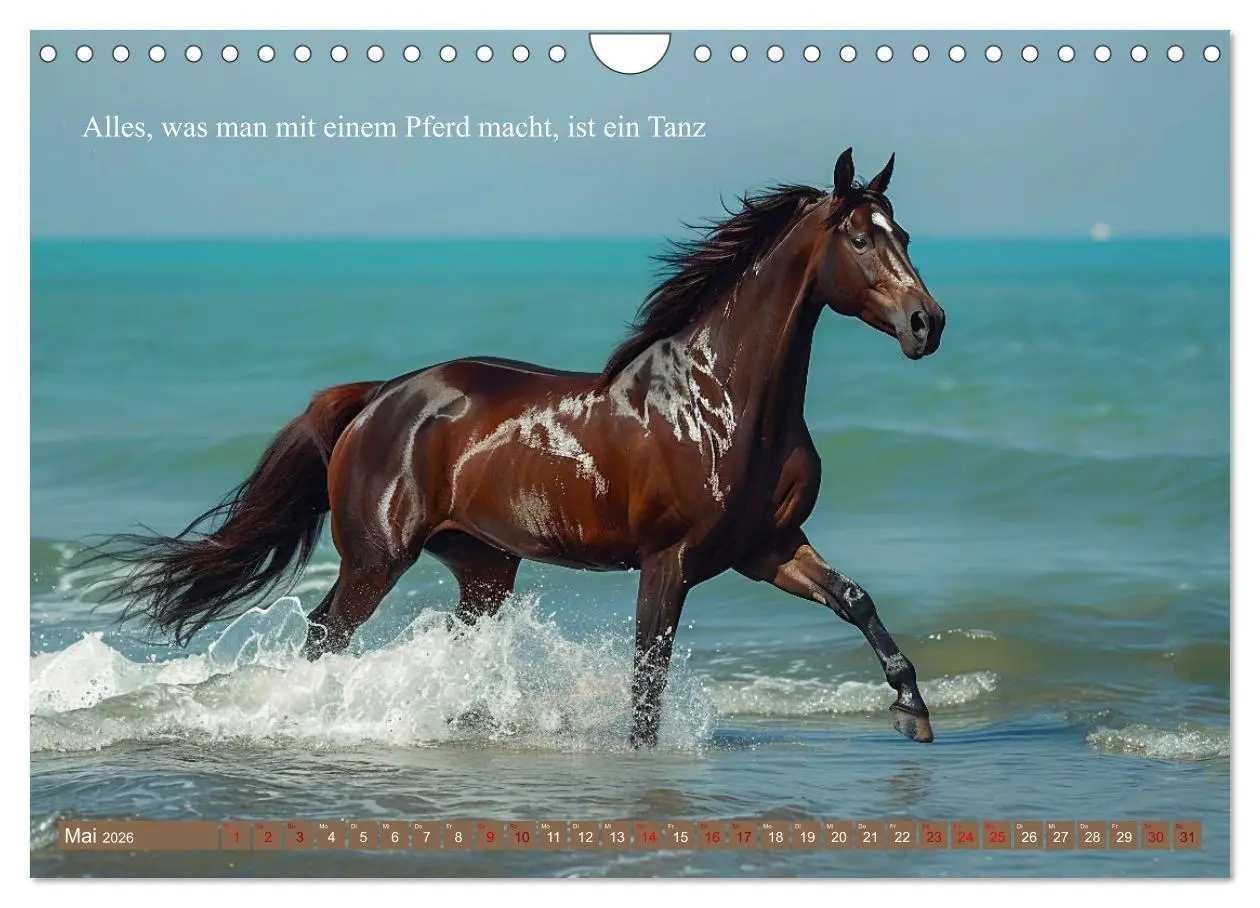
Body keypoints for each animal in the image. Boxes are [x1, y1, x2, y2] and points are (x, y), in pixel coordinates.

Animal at [99, 148, 946, 747]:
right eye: (861, 238)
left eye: (904, 235)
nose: (926, 324)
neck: (722, 403)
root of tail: (378, 397)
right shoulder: (668, 561)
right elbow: (648, 677)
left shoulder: (767, 545)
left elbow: (855, 600)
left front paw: (912, 707)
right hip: (375, 560)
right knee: (323, 634)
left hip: (483, 568)